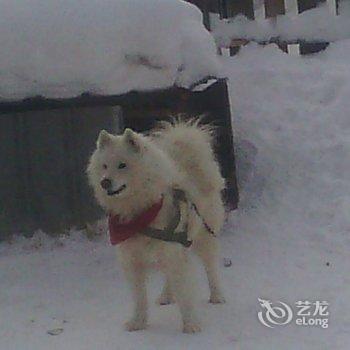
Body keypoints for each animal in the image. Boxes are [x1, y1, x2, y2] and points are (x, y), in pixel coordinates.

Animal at [86, 119, 226, 334]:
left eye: (122, 165)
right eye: (104, 166)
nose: (105, 182)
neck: (138, 213)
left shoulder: (175, 254)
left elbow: (185, 294)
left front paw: (190, 325)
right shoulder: (133, 260)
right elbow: (139, 298)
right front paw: (138, 323)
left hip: (204, 236)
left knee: (211, 268)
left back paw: (217, 296)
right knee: (169, 276)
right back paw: (166, 296)